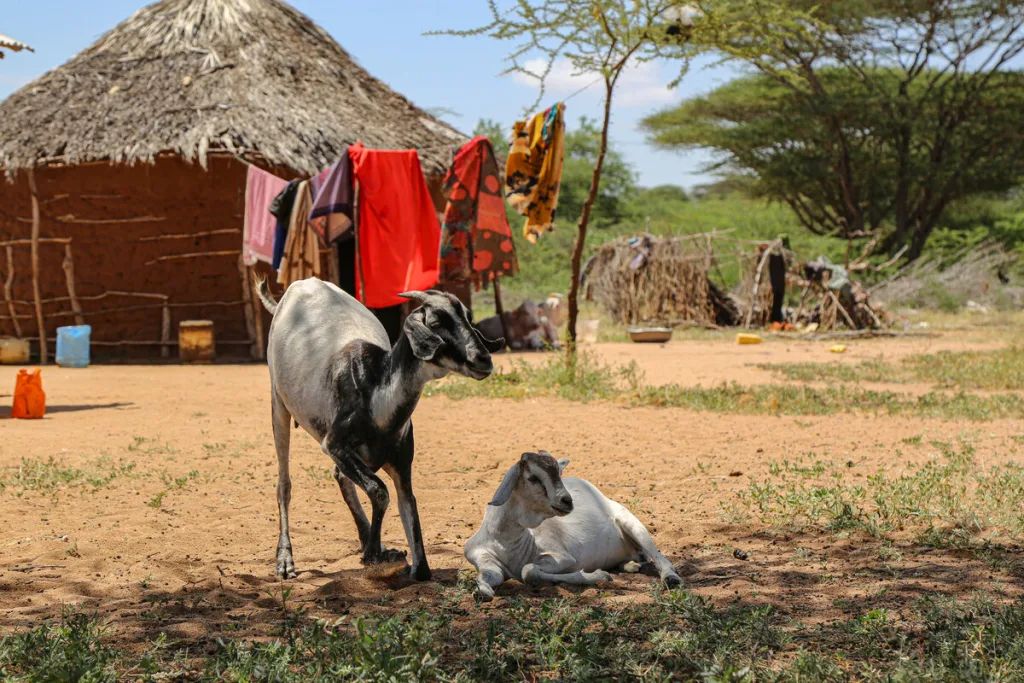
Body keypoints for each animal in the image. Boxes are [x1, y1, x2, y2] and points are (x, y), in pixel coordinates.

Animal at [255, 277, 503, 581]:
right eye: (435, 322)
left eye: (468, 317)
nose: (483, 360)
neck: (375, 392)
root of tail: (301, 284)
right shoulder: (334, 443)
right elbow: (379, 490)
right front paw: (372, 554)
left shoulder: (401, 464)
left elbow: (410, 518)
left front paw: (381, 551)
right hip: (278, 402)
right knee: (284, 484)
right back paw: (285, 559)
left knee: (340, 477)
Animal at [465, 450, 681, 601]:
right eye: (532, 477)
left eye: (558, 474)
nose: (567, 501)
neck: (508, 545)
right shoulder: (485, 560)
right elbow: (487, 576)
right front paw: (482, 592)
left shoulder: (563, 557)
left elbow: (528, 571)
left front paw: (600, 576)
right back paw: (631, 566)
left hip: (632, 524)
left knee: (660, 557)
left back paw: (671, 579)